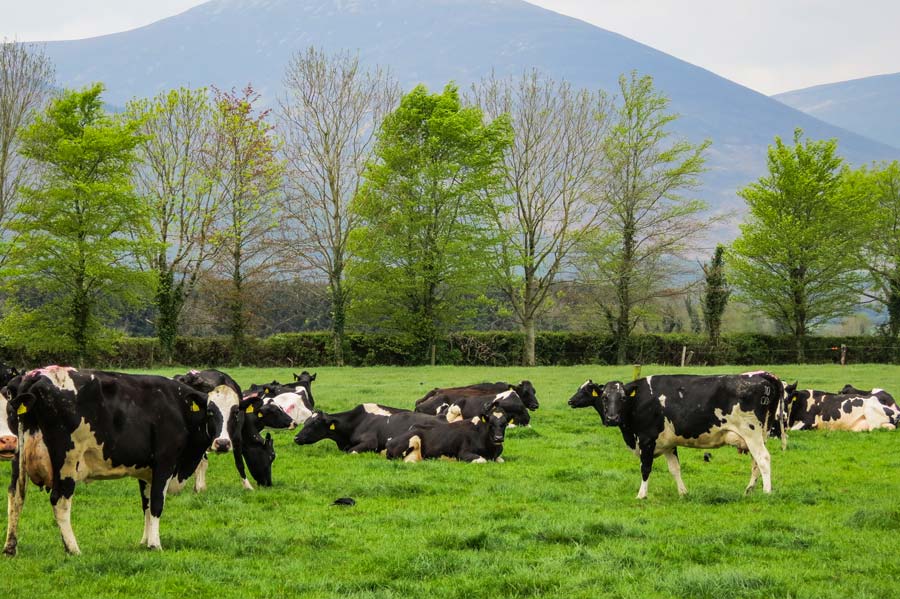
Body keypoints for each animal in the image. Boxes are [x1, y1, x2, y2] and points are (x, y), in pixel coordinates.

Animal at [5, 366, 218, 556]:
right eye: (211, 413)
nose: (222, 443)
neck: (178, 407)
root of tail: (36, 375)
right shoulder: (165, 463)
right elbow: (157, 504)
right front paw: (155, 545)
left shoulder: (146, 471)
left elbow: (146, 505)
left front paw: (145, 541)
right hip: (67, 462)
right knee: (60, 501)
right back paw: (73, 549)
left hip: (19, 457)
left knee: (16, 496)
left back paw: (10, 547)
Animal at [568, 372, 788, 500]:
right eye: (605, 397)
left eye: (622, 398)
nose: (612, 418)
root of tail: (761, 376)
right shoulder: (667, 444)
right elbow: (675, 469)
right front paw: (683, 493)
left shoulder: (647, 440)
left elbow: (645, 469)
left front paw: (641, 495)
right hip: (757, 435)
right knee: (756, 462)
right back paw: (749, 490)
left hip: (751, 432)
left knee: (763, 459)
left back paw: (767, 492)